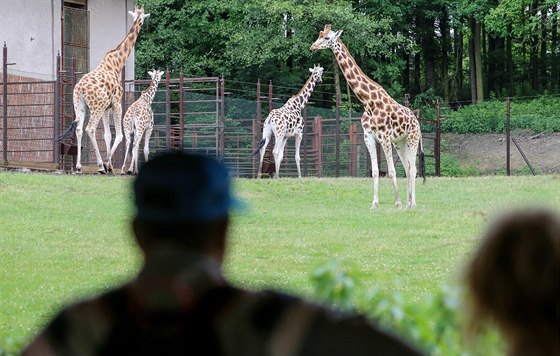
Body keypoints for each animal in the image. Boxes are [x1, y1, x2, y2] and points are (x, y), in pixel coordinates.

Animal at [57, 4, 150, 174]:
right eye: (140, 19)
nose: (140, 24)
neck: (117, 64)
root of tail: (80, 89)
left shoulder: (107, 107)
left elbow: (107, 135)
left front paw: (110, 165)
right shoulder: (117, 103)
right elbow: (119, 135)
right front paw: (108, 164)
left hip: (80, 105)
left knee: (79, 129)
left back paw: (79, 166)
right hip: (96, 107)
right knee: (90, 129)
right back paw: (100, 165)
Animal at [310, 24, 424, 209]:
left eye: (327, 38)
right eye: (319, 35)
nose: (312, 47)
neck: (368, 102)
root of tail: (416, 121)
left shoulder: (384, 137)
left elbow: (391, 170)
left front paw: (397, 202)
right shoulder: (368, 136)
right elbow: (376, 171)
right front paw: (375, 203)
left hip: (412, 139)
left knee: (413, 168)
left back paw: (411, 203)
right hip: (400, 143)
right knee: (407, 167)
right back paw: (409, 202)